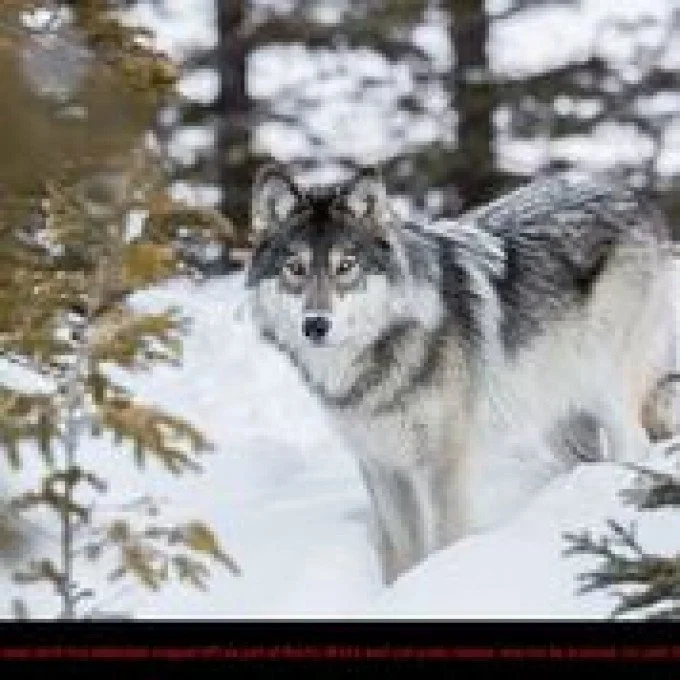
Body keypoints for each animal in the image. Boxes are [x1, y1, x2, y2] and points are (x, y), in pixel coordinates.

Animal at [244, 162, 677, 584]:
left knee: (637, 449)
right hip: (559, 420)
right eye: (295, 268)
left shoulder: (444, 462)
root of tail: (632, 192)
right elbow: (403, 553)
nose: (315, 325)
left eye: (345, 267)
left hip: (608, 394)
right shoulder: (382, 467)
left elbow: (445, 539)